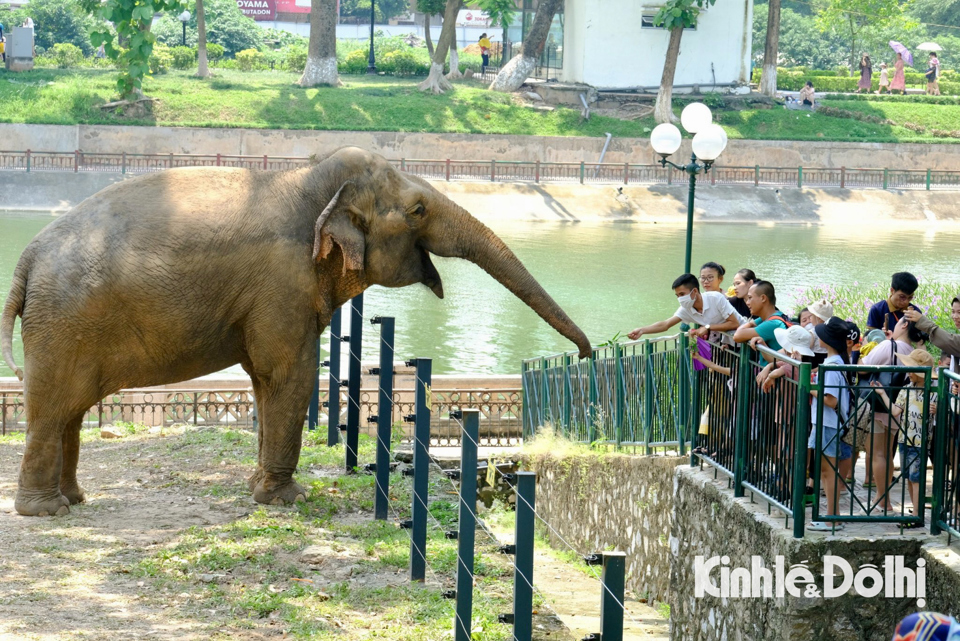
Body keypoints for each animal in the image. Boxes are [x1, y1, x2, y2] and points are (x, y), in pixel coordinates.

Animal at [1, 146, 592, 516]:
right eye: (419, 209)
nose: (586, 354)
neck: (308, 180)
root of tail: (27, 258)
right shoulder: (282, 281)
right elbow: (290, 372)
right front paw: (288, 501)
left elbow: (264, 380)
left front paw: (257, 488)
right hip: (63, 324)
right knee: (53, 409)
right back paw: (47, 512)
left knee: (70, 411)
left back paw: (74, 500)